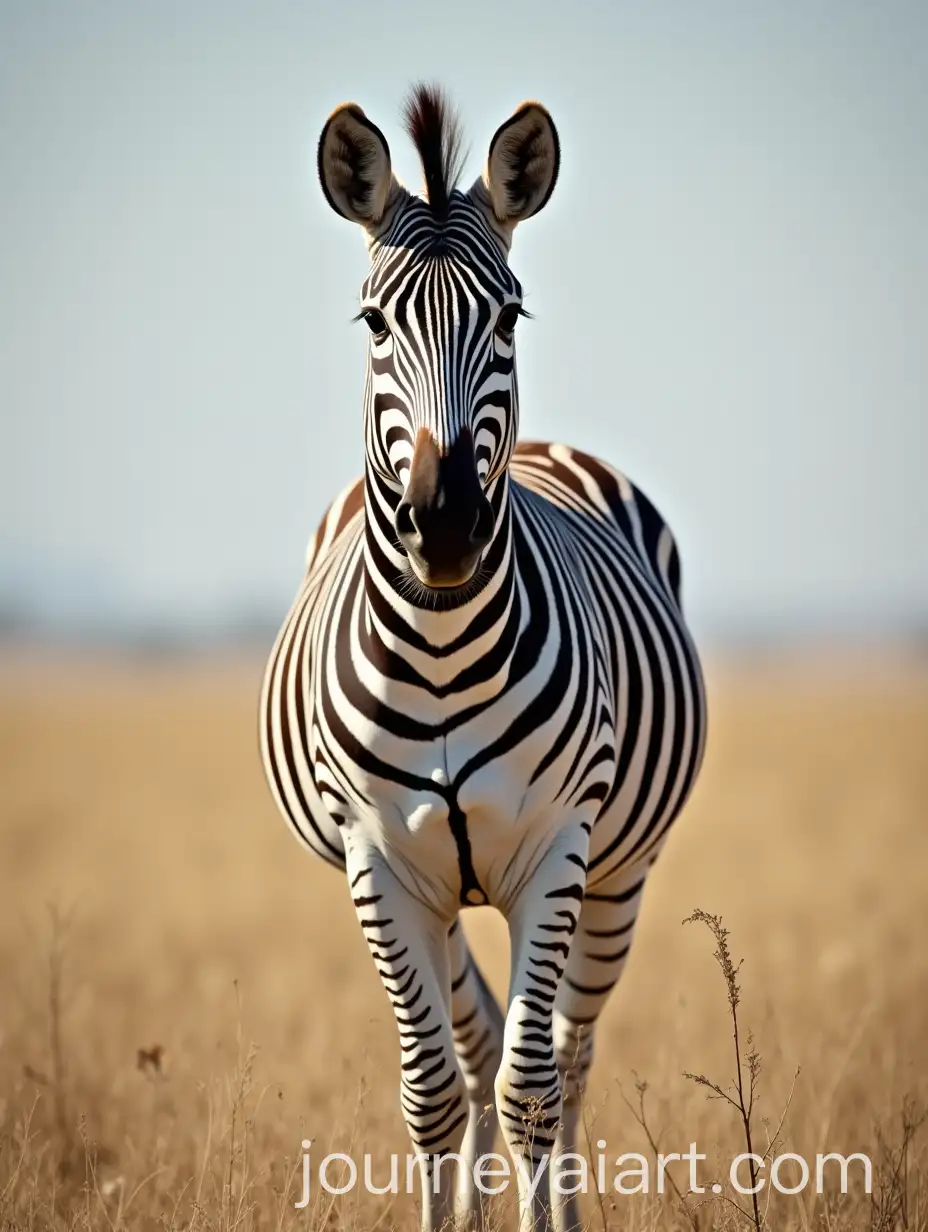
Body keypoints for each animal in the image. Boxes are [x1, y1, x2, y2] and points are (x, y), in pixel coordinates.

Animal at [260, 84, 707, 1232]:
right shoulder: (377, 859)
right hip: (439, 889)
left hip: (619, 873)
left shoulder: (557, 849)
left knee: (562, 1056)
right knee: (475, 1043)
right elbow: (432, 1088)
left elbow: (531, 1087)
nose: (447, 522)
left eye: (508, 316)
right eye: (373, 322)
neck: (442, 648)